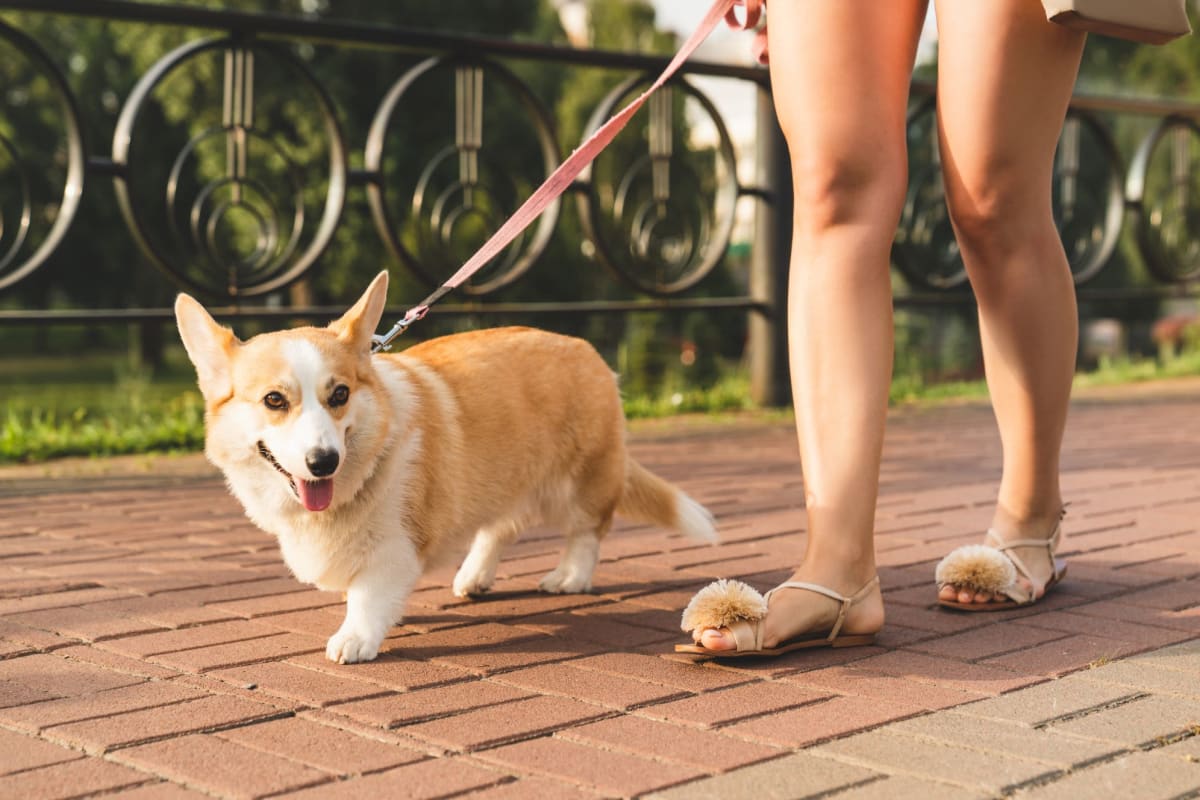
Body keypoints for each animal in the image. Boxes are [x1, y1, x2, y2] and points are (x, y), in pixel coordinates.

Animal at [174, 275, 715, 662]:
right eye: (274, 400)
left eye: (340, 394)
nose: (323, 462)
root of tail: (589, 352)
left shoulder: (396, 544)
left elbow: (368, 594)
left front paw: (355, 638)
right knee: (500, 527)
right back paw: (473, 577)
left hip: (581, 481)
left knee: (586, 533)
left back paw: (569, 577)